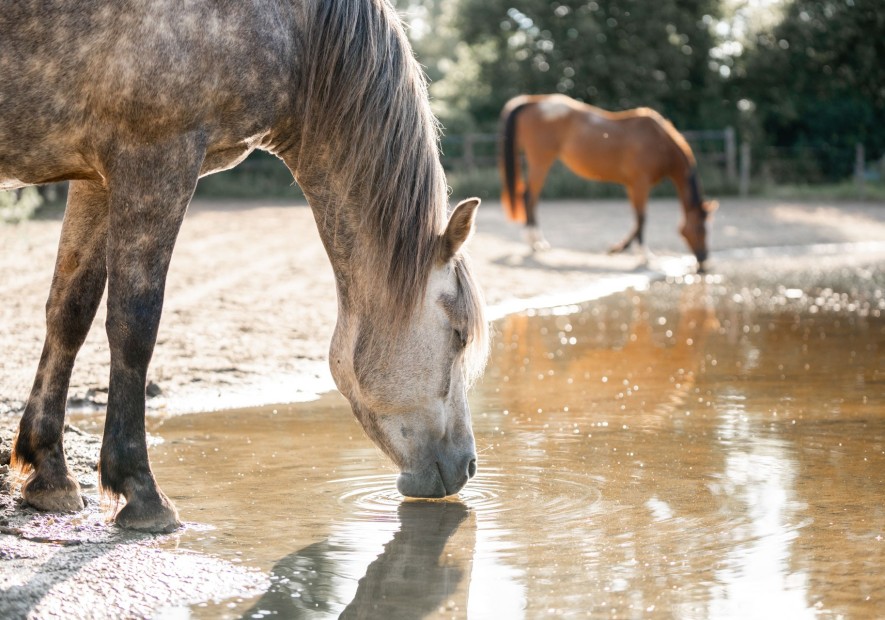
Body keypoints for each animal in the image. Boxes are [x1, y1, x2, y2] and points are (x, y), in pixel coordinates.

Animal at [1, 0, 488, 533]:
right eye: (459, 335)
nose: (468, 466)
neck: (296, 33)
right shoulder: (155, 158)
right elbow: (134, 326)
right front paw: (141, 491)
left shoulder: (96, 177)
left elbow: (70, 313)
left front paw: (50, 475)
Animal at [498, 94, 718, 271]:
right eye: (700, 229)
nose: (704, 260)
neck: (659, 142)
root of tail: (533, 101)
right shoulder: (640, 184)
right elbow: (642, 218)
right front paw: (643, 254)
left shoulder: (632, 186)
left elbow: (636, 219)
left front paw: (618, 248)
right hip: (540, 161)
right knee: (529, 196)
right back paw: (534, 241)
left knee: (531, 198)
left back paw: (537, 241)